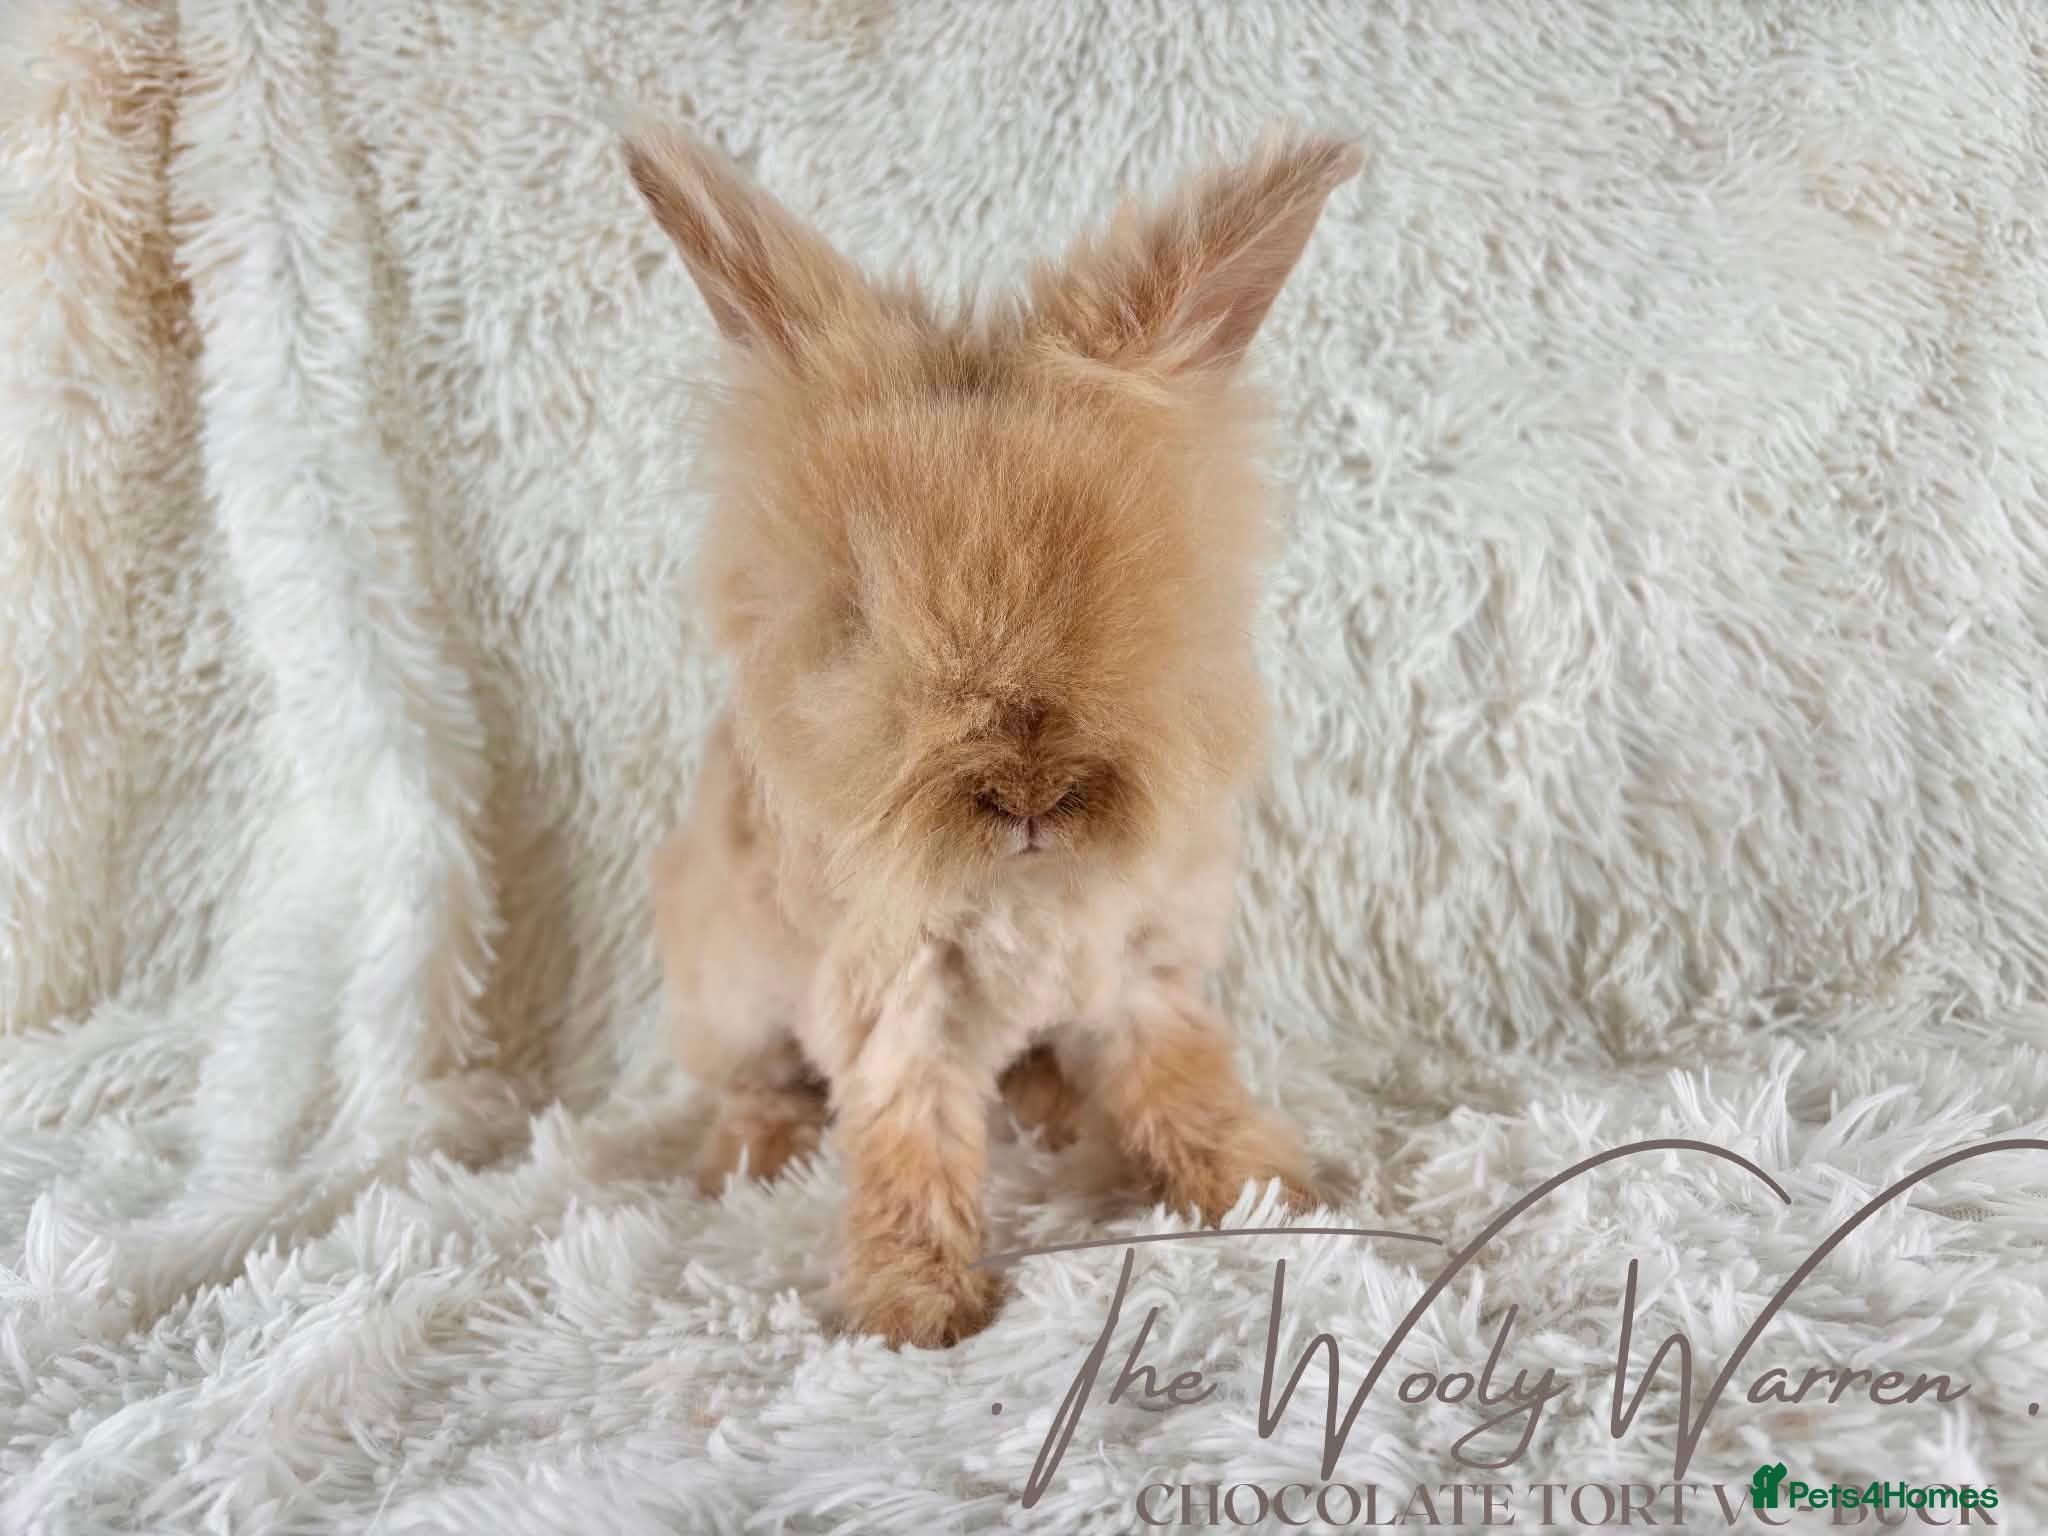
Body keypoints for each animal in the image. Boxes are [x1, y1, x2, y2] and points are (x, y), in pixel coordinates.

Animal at [630, 122, 1360, 1348]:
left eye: (1135, 596)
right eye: (856, 620)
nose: (1028, 795)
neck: (1022, 888)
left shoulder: (1141, 968)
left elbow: (1185, 1080)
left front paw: (1273, 1192)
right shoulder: (893, 1001)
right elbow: (908, 1141)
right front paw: (919, 1309)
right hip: (727, 990)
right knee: (753, 1080)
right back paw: (753, 1156)